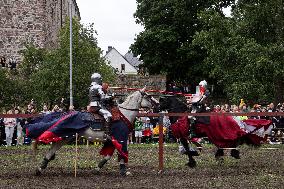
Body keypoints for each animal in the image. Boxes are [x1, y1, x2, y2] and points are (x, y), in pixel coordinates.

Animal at [24, 89, 159, 176]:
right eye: (148, 96)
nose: (157, 104)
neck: (124, 114)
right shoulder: (121, 138)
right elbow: (122, 153)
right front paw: (123, 171)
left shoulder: (112, 141)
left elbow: (108, 155)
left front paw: (97, 168)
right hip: (65, 136)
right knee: (52, 149)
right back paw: (40, 169)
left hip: (67, 137)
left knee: (52, 150)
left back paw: (40, 169)